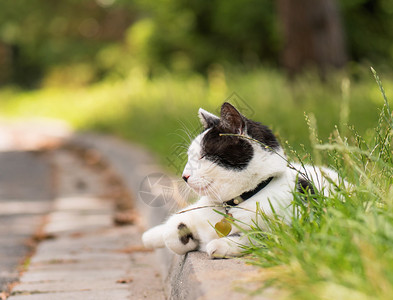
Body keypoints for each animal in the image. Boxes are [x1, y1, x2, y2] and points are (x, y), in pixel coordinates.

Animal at [141, 102, 340, 256]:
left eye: (204, 156)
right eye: (190, 156)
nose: (184, 176)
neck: (233, 204)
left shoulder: (290, 228)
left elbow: (255, 237)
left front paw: (218, 245)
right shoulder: (195, 210)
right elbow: (171, 231)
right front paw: (166, 236)